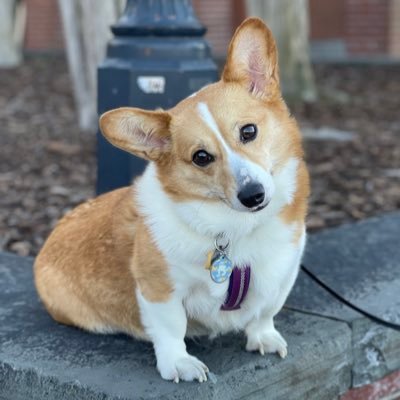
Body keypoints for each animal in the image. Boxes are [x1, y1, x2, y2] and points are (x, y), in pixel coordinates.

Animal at [34, 17, 310, 382]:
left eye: (248, 131)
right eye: (201, 157)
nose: (253, 195)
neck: (233, 229)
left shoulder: (281, 273)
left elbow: (265, 311)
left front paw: (263, 336)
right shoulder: (159, 288)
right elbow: (170, 329)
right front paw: (179, 363)